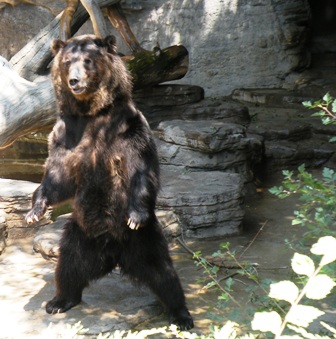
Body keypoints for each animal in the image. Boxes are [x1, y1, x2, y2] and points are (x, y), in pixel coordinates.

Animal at [25, 34, 193, 332]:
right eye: (67, 62)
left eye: (87, 60)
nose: (74, 81)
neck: (92, 112)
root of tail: (113, 251)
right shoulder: (67, 131)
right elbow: (58, 173)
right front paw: (35, 210)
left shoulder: (127, 128)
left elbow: (140, 168)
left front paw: (136, 214)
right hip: (79, 232)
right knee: (68, 266)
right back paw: (59, 301)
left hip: (142, 240)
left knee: (163, 273)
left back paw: (181, 314)